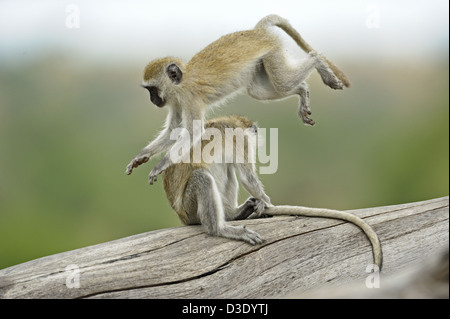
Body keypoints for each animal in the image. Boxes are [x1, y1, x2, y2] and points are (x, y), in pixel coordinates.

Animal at [125, 15, 350, 185]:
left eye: (152, 89)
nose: (153, 99)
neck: (181, 82)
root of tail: (257, 32)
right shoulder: (177, 101)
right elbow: (174, 130)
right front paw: (141, 156)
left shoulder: (189, 98)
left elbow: (193, 132)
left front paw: (160, 165)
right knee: (261, 91)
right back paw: (303, 90)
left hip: (273, 51)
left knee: (283, 81)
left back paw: (317, 61)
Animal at [160, 116, 382, 268]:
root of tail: (181, 216)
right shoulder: (240, 141)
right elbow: (247, 177)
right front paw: (267, 203)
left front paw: (261, 204)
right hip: (190, 206)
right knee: (203, 178)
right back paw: (220, 228)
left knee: (227, 169)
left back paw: (233, 214)